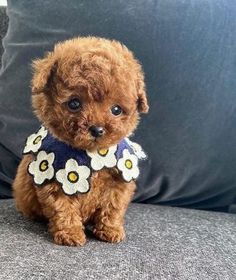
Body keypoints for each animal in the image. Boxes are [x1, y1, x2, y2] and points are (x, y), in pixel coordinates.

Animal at [12, 36, 148, 245]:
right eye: (74, 103)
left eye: (116, 110)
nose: (97, 129)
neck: (91, 155)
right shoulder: (55, 181)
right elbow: (63, 208)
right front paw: (70, 234)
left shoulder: (119, 181)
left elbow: (112, 207)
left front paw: (111, 230)